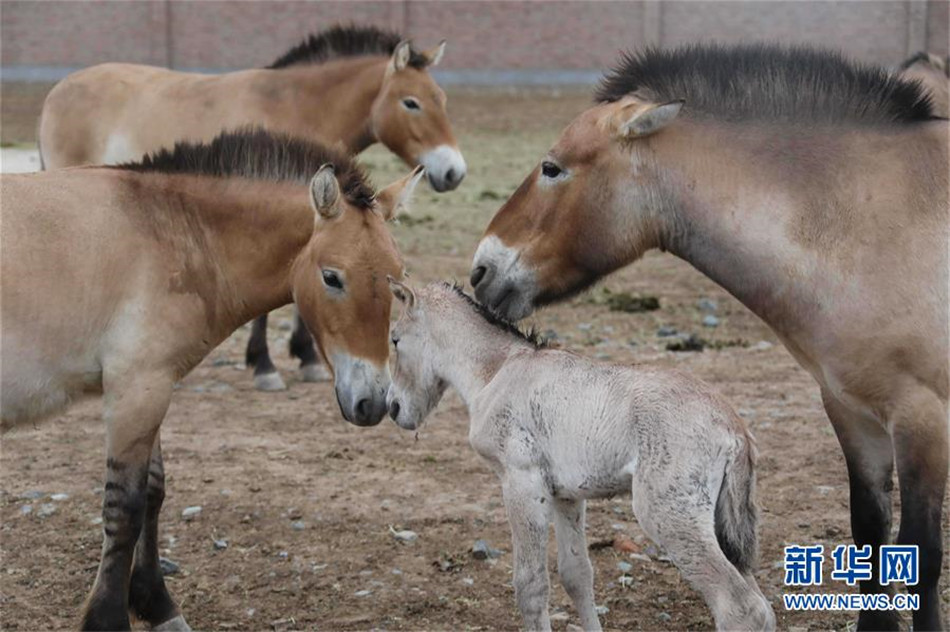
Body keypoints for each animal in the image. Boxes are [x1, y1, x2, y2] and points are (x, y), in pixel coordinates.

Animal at [38, 23, 468, 390]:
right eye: (411, 102)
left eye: (442, 100)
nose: (453, 172)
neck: (295, 107)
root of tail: (59, 90)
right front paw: (265, 366)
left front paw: (306, 358)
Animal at [384, 282, 772, 632]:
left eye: (394, 340)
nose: (393, 409)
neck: (498, 370)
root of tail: (734, 426)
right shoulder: (566, 495)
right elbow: (577, 576)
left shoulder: (521, 482)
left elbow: (530, 586)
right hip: (721, 524)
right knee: (761, 605)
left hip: (669, 516)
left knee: (741, 608)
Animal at [472, 45, 948, 632]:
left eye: (552, 167)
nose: (481, 270)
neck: (872, 224)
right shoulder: (853, 414)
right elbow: (871, 537)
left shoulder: (923, 419)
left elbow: (923, 553)